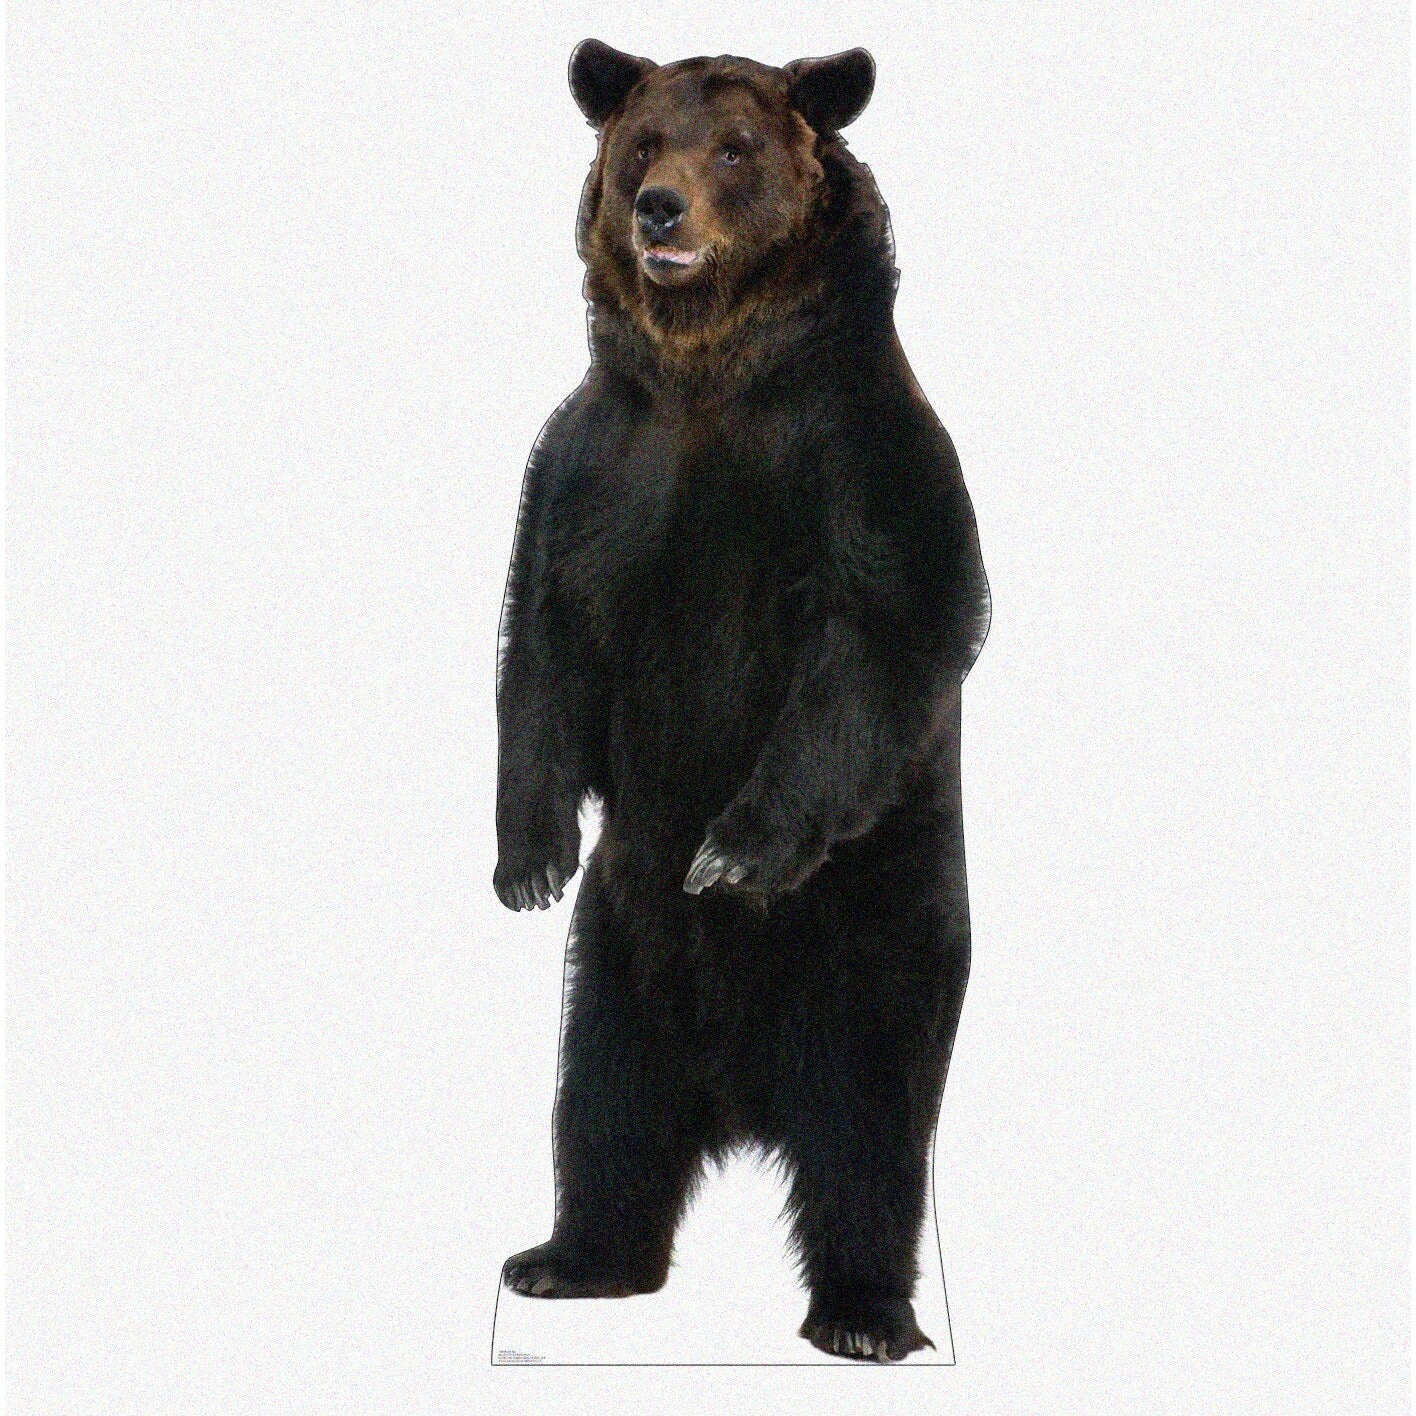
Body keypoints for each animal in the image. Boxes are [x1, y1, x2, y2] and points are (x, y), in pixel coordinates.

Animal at [494, 40, 990, 1363]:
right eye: (641, 144)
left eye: (734, 148)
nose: (660, 209)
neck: (709, 369)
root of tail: (744, 1097)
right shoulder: (596, 465)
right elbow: (542, 644)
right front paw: (527, 857)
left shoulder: (855, 455)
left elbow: (883, 630)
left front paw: (732, 851)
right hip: (617, 959)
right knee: (603, 1109)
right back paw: (568, 1257)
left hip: (880, 934)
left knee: (871, 1135)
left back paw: (864, 1314)